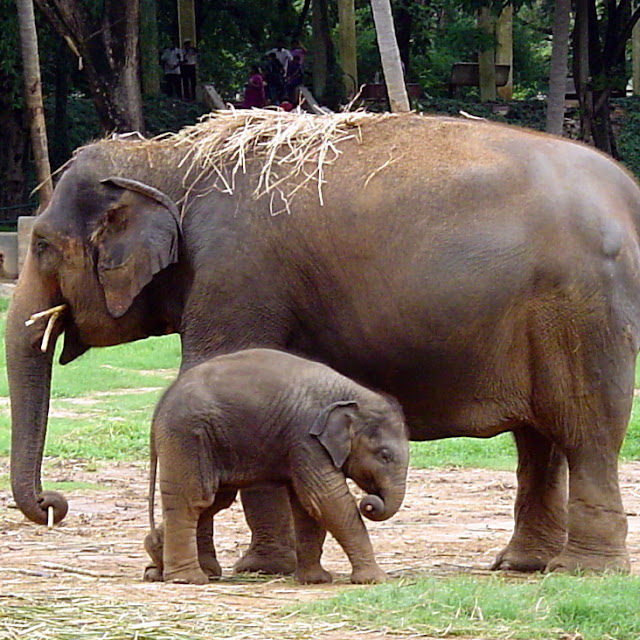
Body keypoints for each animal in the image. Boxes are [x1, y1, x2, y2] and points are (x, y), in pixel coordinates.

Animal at [144, 350, 410, 584]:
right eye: (385, 456)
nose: (370, 503)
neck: (351, 394)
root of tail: (159, 406)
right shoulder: (306, 437)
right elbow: (326, 499)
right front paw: (376, 580)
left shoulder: (299, 444)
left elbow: (307, 505)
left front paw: (314, 580)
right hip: (187, 436)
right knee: (193, 500)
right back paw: (188, 579)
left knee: (213, 501)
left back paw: (155, 563)